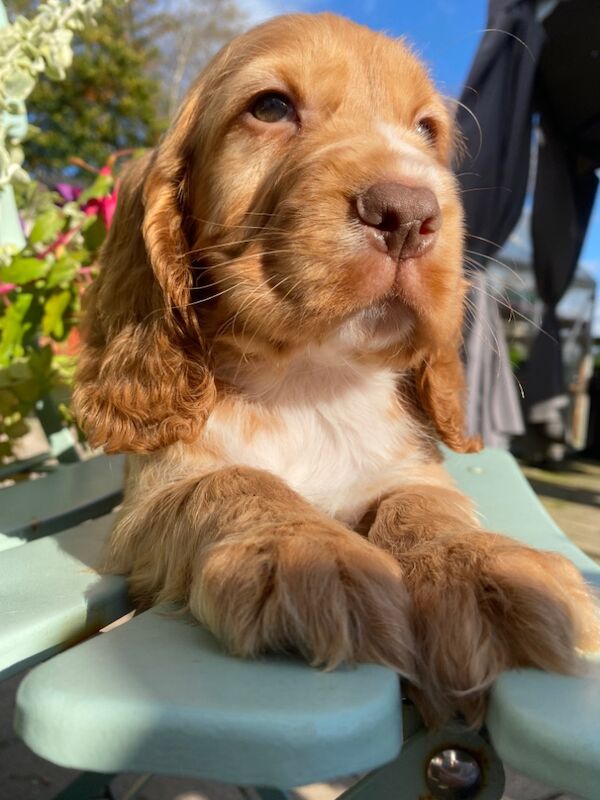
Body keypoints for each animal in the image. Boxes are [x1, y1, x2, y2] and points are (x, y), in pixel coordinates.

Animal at [72, 12, 596, 724]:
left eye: (427, 131)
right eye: (270, 107)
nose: (409, 213)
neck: (311, 383)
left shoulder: (414, 470)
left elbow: (422, 506)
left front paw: (480, 568)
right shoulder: (151, 498)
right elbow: (234, 481)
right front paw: (308, 555)